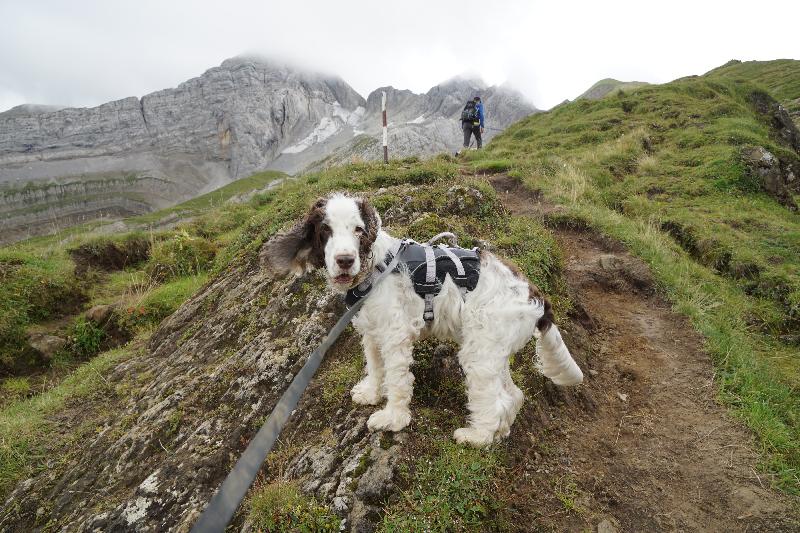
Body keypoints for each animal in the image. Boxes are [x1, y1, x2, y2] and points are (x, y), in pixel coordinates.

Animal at [260, 193, 583, 446]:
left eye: (358, 230)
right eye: (325, 230)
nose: (345, 260)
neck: (375, 269)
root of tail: (535, 296)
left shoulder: (395, 335)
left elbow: (397, 379)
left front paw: (392, 418)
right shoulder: (372, 332)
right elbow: (375, 367)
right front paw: (371, 392)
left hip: (480, 353)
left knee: (497, 400)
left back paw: (476, 437)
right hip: (492, 351)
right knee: (514, 395)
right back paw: (500, 432)